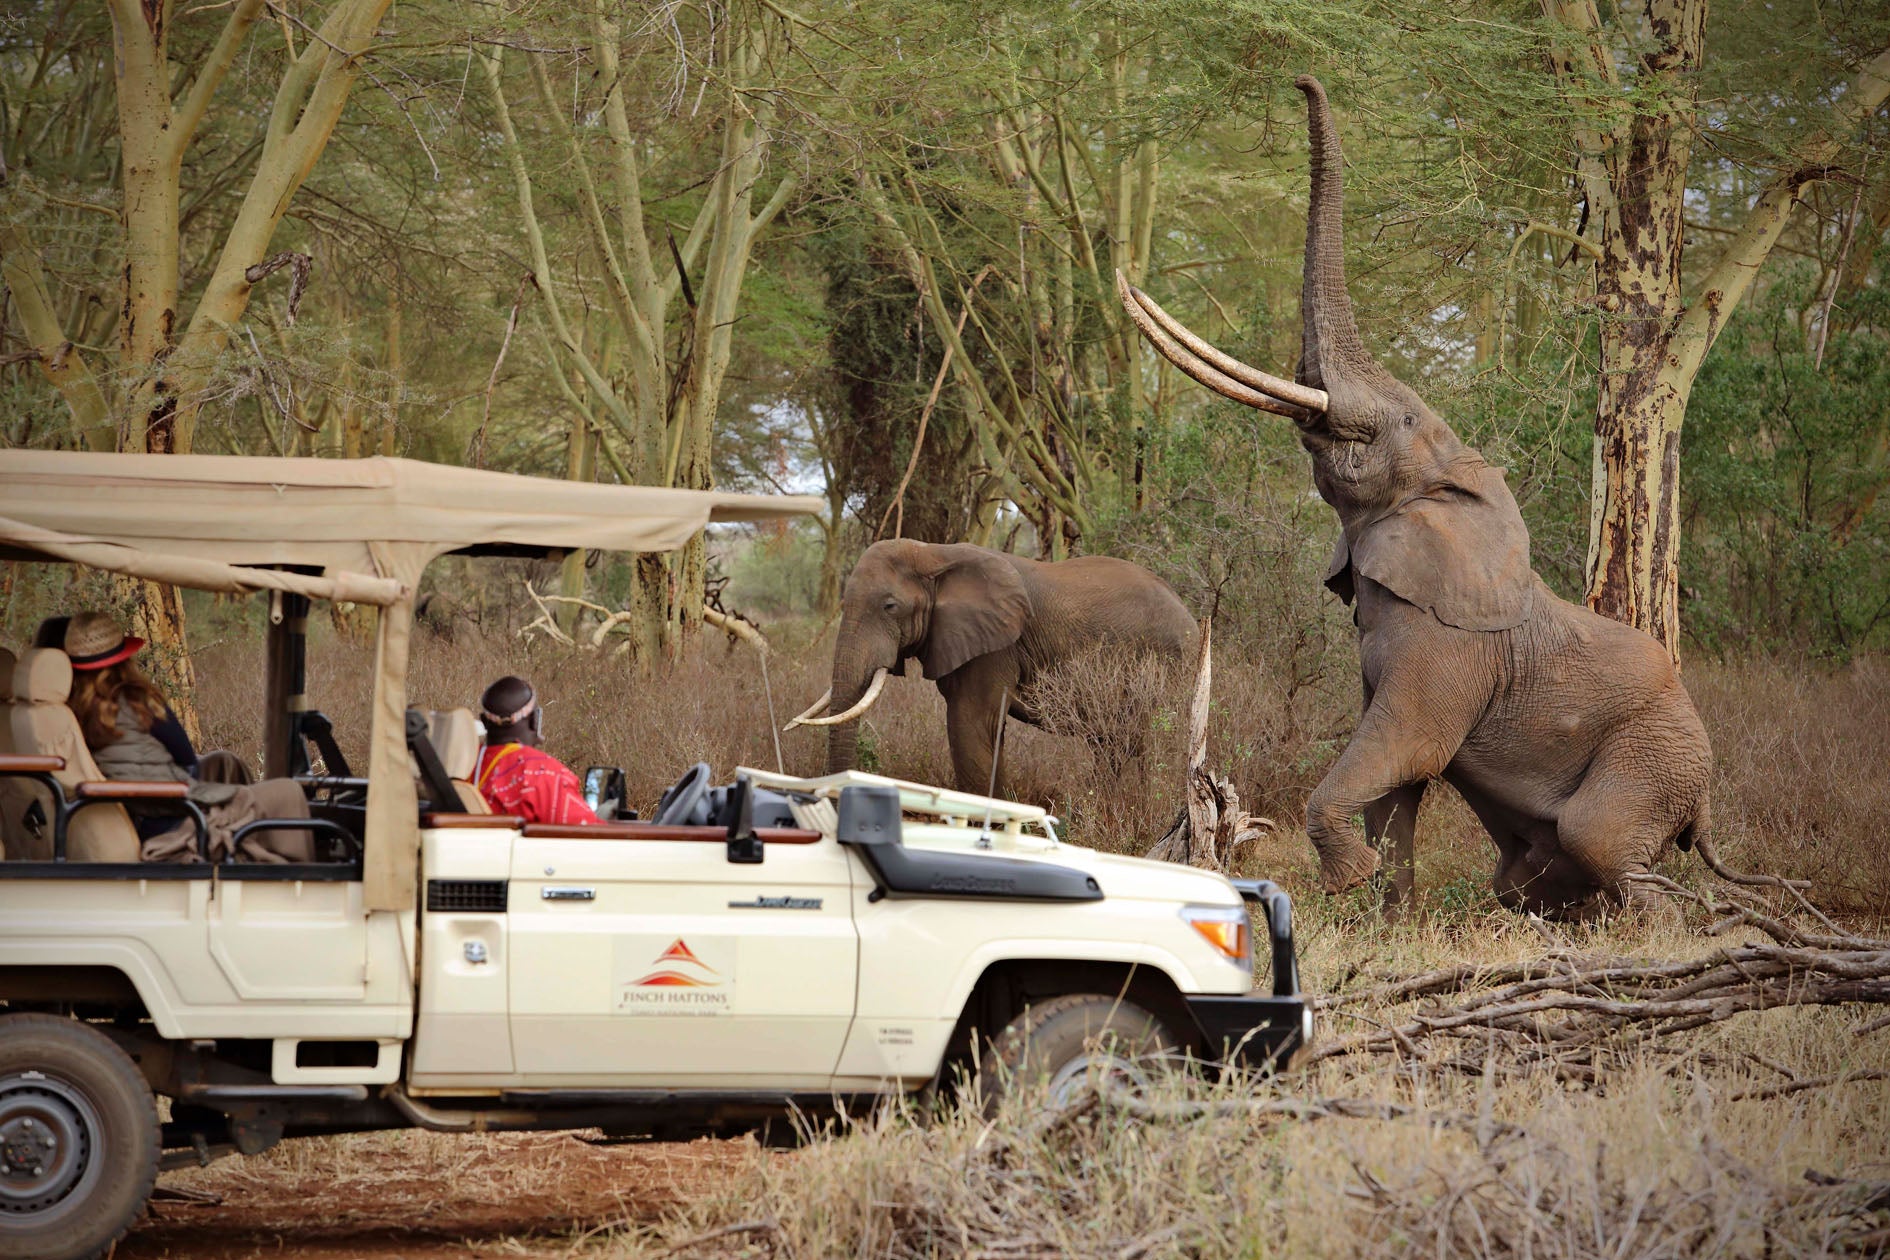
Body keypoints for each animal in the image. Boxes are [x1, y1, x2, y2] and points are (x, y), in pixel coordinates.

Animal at [788, 539, 1198, 796]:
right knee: (1114, 743)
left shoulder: (996, 647)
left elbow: (969, 723)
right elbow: (988, 731)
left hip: (1168, 660)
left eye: (890, 606)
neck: (933, 552)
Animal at [1116, 76, 1712, 920]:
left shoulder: (1447, 647)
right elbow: (1392, 783)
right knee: (1531, 874)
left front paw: (1347, 881)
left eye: (1400, 421)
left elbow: (1405, 746)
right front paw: (1383, 911)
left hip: (1656, 756)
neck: (1456, 489)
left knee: (1603, 840)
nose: (1300, 80)